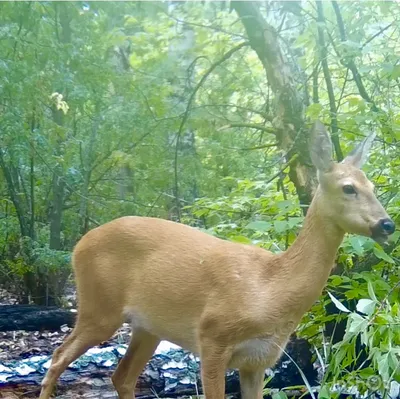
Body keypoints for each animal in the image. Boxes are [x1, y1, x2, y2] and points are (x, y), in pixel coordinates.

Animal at [39, 122, 396, 399]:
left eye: (372, 185)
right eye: (348, 188)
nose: (387, 224)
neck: (271, 289)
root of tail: (78, 245)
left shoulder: (259, 360)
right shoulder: (212, 337)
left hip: (147, 326)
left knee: (121, 376)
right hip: (99, 307)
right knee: (56, 358)